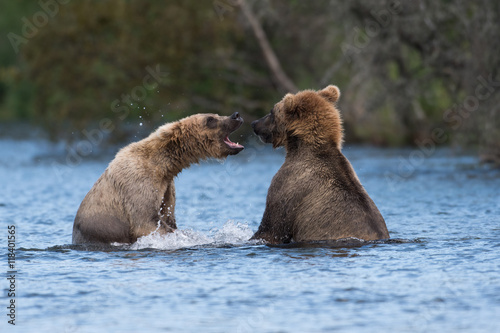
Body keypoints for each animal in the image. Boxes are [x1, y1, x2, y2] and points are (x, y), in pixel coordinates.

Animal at [73, 111, 244, 244]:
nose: (236, 115)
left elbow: (168, 217)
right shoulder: (138, 183)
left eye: (216, 115)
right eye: (210, 119)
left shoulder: (167, 187)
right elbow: (146, 222)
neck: (162, 167)